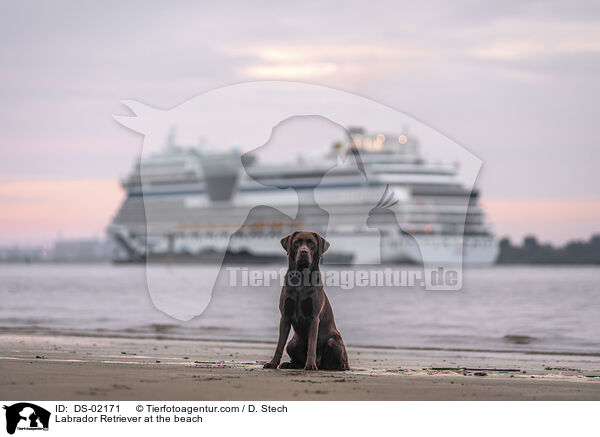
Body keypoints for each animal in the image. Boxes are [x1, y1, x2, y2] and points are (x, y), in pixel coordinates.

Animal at [264, 230, 350, 370]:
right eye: (297, 242)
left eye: (312, 244)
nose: (304, 251)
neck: (300, 278)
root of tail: (321, 364)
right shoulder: (285, 316)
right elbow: (279, 345)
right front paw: (273, 363)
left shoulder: (314, 317)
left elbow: (312, 344)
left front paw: (310, 365)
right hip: (292, 344)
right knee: (294, 354)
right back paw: (289, 364)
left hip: (334, 340)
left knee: (341, 359)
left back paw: (339, 366)